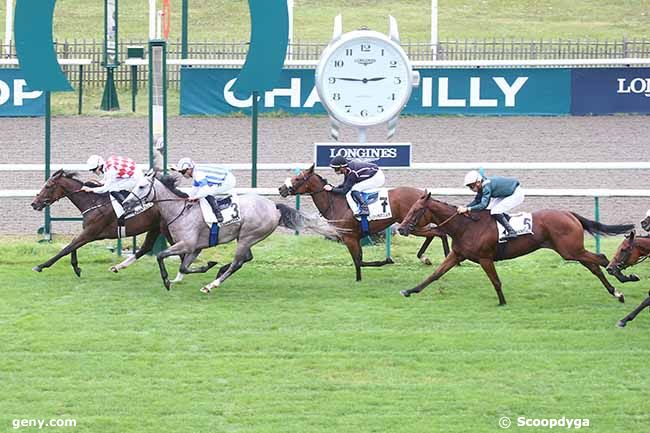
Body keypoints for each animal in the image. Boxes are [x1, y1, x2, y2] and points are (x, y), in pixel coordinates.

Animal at [123, 170, 334, 292]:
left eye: (141, 186)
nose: (125, 203)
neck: (180, 210)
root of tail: (274, 207)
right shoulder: (195, 247)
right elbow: (183, 267)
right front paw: (208, 265)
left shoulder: (187, 244)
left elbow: (161, 256)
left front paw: (167, 281)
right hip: (245, 237)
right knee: (246, 258)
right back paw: (219, 272)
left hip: (248, 235)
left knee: (238, 262)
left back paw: (212, 285)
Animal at [276, 162, 448, 280]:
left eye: (298, 178)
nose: (281, 189)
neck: (336, 203)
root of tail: (424, 196)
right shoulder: (354, 238)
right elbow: (359, 260)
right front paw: (359, 279)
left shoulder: (349, 238)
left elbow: (359, 261)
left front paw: (385, 261)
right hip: (414, 225)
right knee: (435, 233)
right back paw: (427, 258)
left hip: (412, 225)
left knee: (439, 232)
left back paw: (443, 256)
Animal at [394, 191, 632, 306]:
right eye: (410, 208)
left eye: (415, 211)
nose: (402, 229)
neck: (466, 225)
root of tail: (569, 213)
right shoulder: (457, 254)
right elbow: (435, 274)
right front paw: (410, 290)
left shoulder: (485, 258)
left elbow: (496, 281)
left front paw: (502, 301)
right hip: (571, 250)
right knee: (594, 265)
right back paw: (616, 292)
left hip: (570, 250)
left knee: (601, 258)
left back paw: (623, 279)